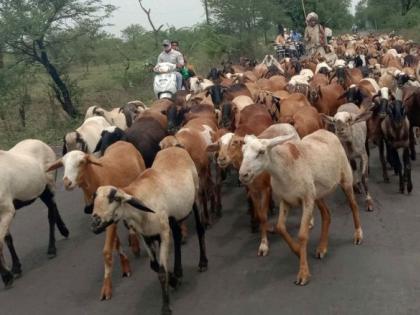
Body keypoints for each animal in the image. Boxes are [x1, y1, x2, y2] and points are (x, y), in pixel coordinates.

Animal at [0, 140, 69, 288]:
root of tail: (42, 143)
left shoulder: (7, 210)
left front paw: (7, 277)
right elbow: (7, 238)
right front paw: (15, 269)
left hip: (49, 185)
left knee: (51, 214)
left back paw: (51, 249)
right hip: (42, 191)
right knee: (53, 207)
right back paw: (64, 231)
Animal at [46, 143, 146, 302]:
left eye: (81, 162)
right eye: (62, 164)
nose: (67, 182)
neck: (97, 179)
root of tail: (123, 142)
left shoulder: (110, 218)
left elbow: (106, 251)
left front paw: (106, 287)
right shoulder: (106, 220)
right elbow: (116, 244)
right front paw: (125, 265)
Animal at [90, 148, 208, 315]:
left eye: (114, 198)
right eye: (94, 198)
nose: (94, 224)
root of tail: (175, 148)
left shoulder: (163, 234)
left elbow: (162, 272)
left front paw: (166, 307)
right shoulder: (146, 236)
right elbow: (154, 266)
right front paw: (174, 280)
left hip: (195, 196)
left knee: (200, 228)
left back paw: (203, 262)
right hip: (172, 216)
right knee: (178, 235)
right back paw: (178, 271)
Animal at [238, 128, 362, 286]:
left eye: (261, 152)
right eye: (243, 151)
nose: (243, 175)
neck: (283, 168)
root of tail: (325, 130)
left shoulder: (307, 199)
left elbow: (302, 235)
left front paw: (303, 273)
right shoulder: (285, 200)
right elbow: (280, 228)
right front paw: (297, 251)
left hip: (345, 179)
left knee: (353, 206)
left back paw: (358, 235)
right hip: (317, 192)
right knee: (327, 214)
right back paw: (322, 248)